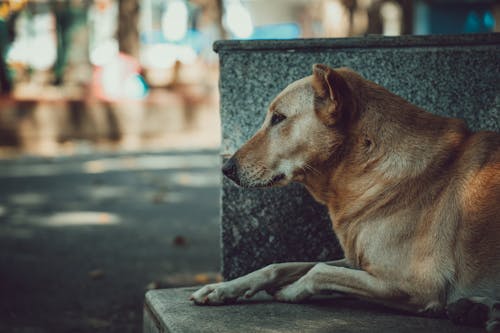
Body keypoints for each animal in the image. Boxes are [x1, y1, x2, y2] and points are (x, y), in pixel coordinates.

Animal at [188, 63, 500, 328]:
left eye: (278, 118)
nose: (226, 168)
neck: (366, 166)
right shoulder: (358, 260)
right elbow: (280, 264)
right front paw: (222, 288)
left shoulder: (419, 285)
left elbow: (319, 270)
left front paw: (291, 290)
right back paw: (476, 310)